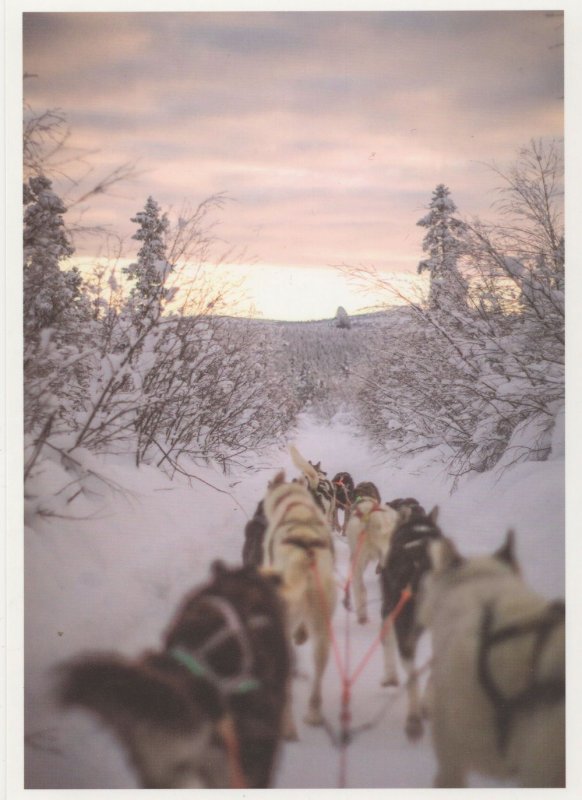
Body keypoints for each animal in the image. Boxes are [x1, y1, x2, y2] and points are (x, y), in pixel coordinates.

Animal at [262, 468, 338, 736]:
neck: (296, 505)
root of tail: (306, 558)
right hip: (323, 631)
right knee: (318, 672)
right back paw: (313, 713)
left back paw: (286, 726)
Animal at [378, 504, 442, 740]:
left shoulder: (387, 611)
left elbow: (386, 643)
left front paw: (390, 677)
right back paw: (427, 706)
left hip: (405, 628)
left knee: (413, 674)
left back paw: (414, 719)